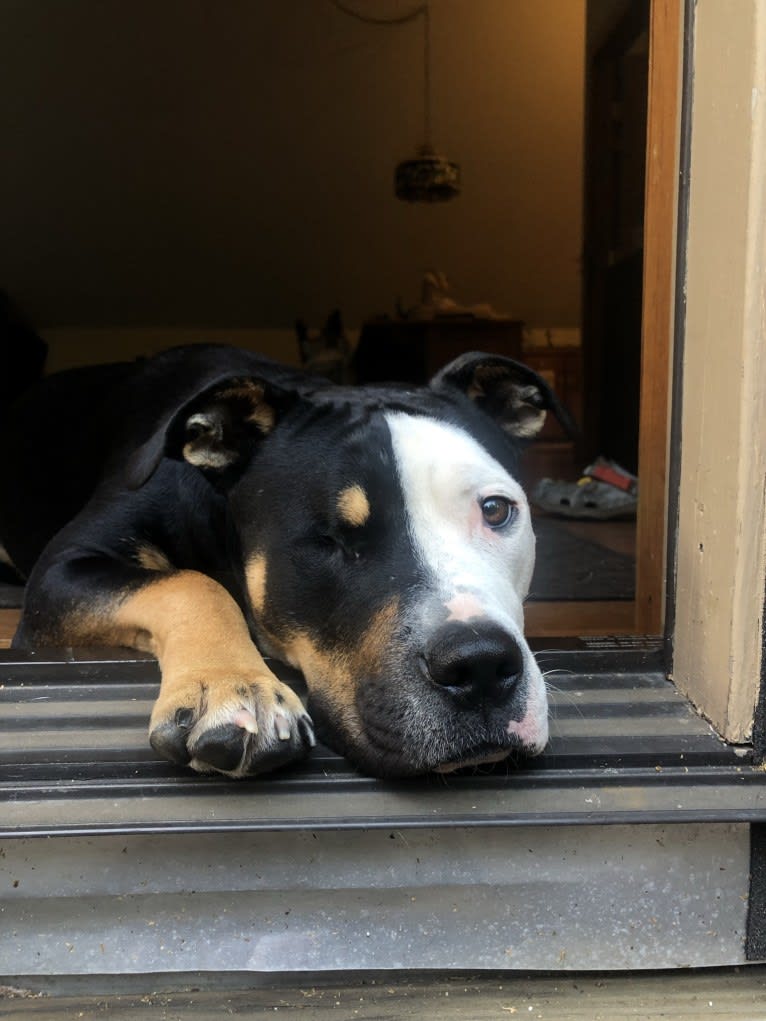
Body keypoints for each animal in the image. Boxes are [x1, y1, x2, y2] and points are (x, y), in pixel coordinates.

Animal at [0, 347, 571, 775]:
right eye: (329, 540)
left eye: (496, 510)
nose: (480, 665)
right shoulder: (62, 571)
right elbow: (191, 584)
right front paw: (233, 686)